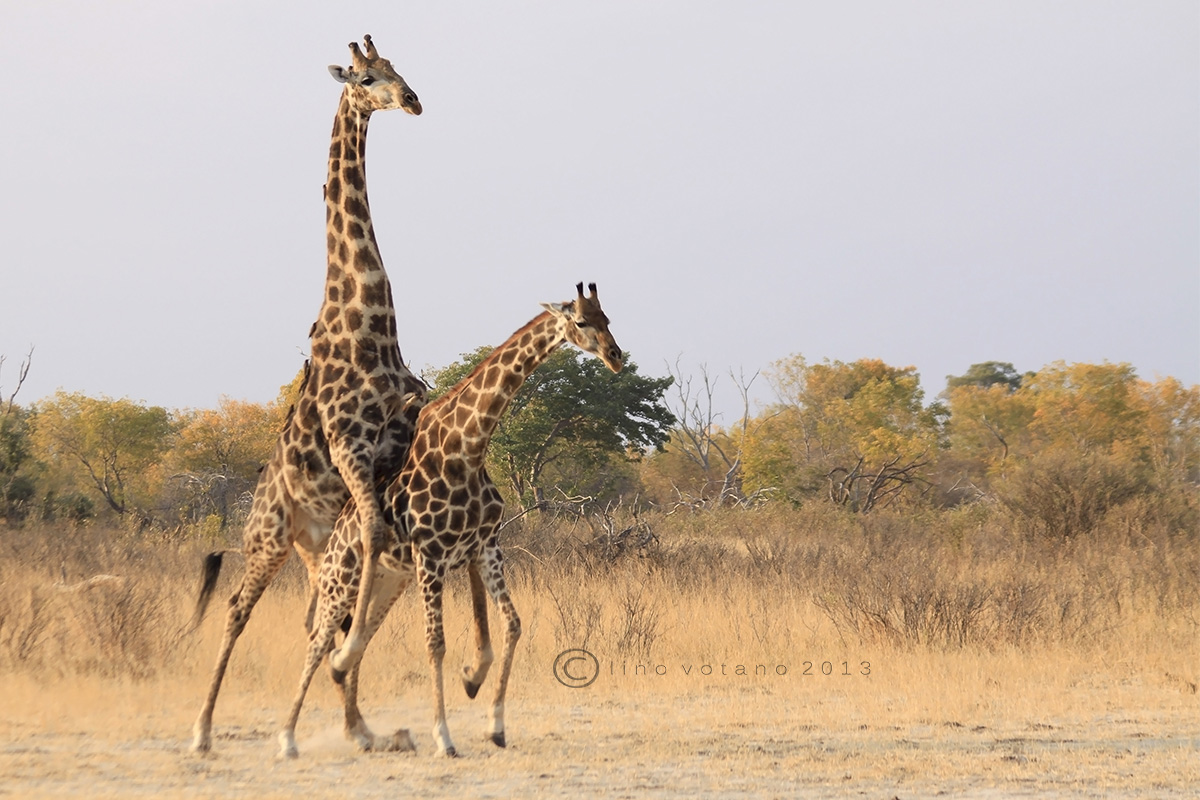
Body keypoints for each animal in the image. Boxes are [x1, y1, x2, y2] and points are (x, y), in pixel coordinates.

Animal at [190, 35, 427, 754]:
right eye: (365, 78)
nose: (413, 100)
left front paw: (358, 715)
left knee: (317, 608)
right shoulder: (351, 449)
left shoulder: (391, 448)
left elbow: (376, 556)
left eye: (398, 69)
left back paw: (360, 725)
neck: (370, 327)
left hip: (313, 543)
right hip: (269, 538)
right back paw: (202, 730)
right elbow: (374, 543)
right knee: (237, 609)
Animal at [277, 283, 623, 759]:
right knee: (318, 642)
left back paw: (355, 730)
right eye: (582, 321)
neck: (468, 446)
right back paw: (288, 738)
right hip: (341, 579)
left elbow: (512, 626)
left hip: (386, 582)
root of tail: (334, 538)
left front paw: (494, 723)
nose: (616, 356)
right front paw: (444, 737)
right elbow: (435, 644)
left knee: (356, 639)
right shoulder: (431, 554)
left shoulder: (485, 546)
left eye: (609, 318)